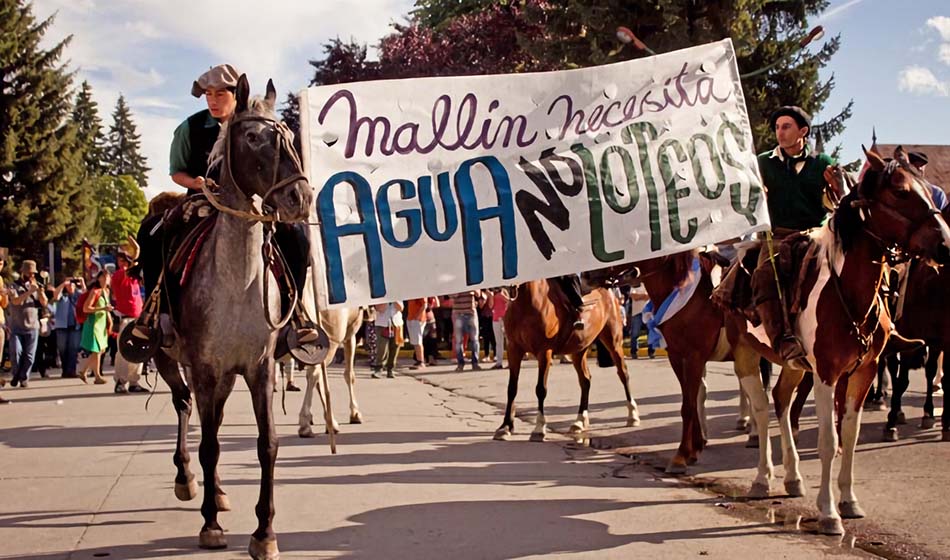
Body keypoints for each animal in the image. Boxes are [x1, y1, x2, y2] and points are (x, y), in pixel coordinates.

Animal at [149, 76, 312, 556]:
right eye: (253, 137)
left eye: (290, 136)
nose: (300, 197)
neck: (236, 282)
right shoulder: (205, 367)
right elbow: (209, 445)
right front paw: (210, 526)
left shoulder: (260, 368)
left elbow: (266, 444)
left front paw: (264, 532)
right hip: (171, 359)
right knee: (187, 410)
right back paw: (188, 479)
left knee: (212, 422)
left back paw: (217, 491)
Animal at [494, 280, 644, 442]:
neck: (526, 301)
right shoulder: (514, 349)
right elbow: (511, 389)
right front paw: (505, 427)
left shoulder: (544, 351)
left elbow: (541, 389)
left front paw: (539, 428)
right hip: (579, 350)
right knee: (585, 381)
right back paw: (579, 422)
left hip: (613, 341)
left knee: (623, 374)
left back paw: (632, 415)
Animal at [728, 148, 950, 532]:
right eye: (901, 192)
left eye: (928, 189)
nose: (946, 243)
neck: (846, 291)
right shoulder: (827, 374)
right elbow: (829, 441)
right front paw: (829, 512)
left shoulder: (862, 372)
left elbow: (850, 434)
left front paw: (848, 501)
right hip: (746, 355)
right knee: (760, 408)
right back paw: (762, 479)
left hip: (794, 364)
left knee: (781, 400)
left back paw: (792, 478)